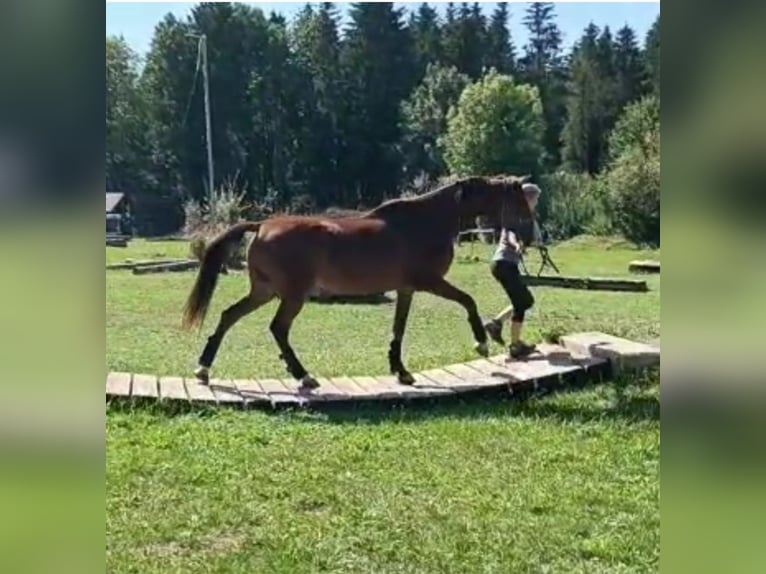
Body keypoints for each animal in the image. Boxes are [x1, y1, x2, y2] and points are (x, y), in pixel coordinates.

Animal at [183, 174, 536, 392]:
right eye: (519, 203)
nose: (531, 236)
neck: (427, 221)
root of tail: (261, 226)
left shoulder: (407, 288)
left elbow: (398, 328)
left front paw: (401, 371)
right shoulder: (429, 281)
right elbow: (468, 301)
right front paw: (481, 342)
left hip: (264, 291)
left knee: (229, 315)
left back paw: (203, 369)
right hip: (291, 295)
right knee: (278, 329)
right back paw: (303, 376)